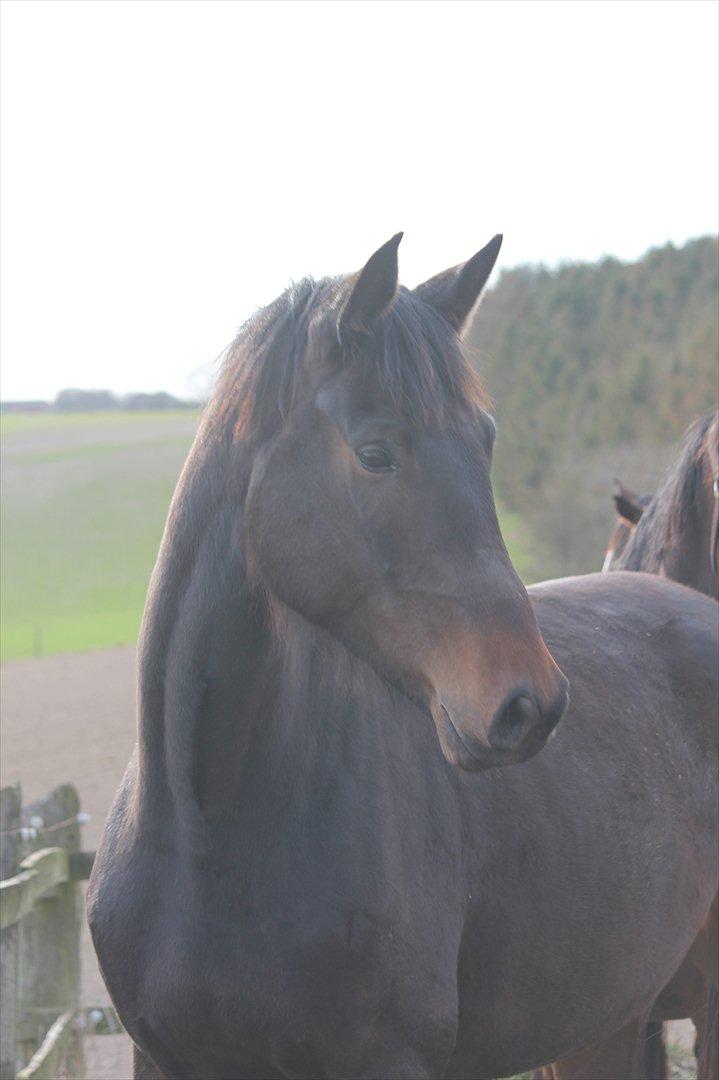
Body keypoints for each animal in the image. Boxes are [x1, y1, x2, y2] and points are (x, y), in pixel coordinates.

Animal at [86, 238, 712, 1080]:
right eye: (374, 452)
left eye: (484, 442)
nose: (530, 705)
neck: (206, 828)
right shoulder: (161, 1059)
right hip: (604, 1024)